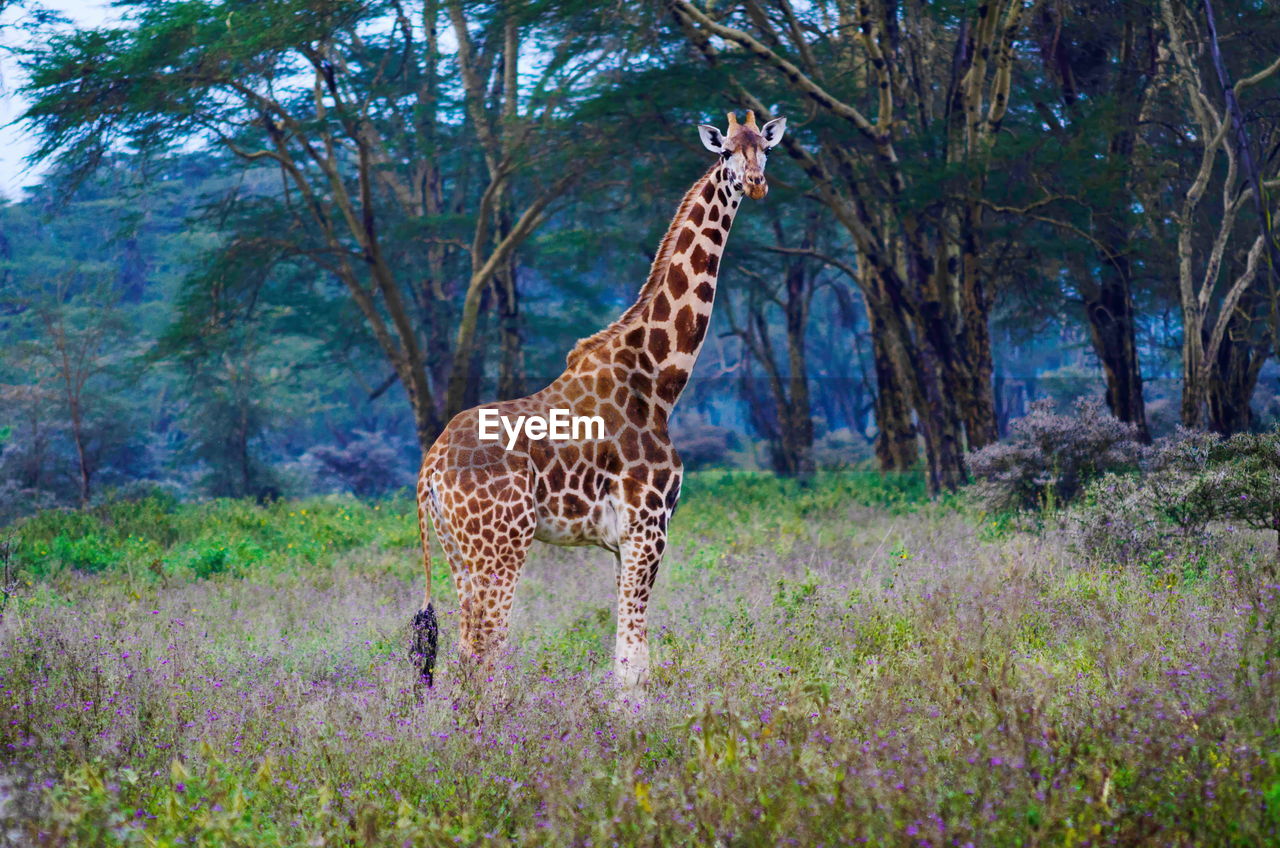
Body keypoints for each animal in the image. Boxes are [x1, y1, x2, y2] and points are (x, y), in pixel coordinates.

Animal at [414, 111, 783, 691]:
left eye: (764, 149)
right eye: (725, 152)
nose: (756, 182)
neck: (659, 380)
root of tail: (430, 467)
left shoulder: (623, 540)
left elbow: (626, 657)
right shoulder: (647, 527)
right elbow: (634, 665)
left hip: (459, 551)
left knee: (465, 653)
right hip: (502, 545)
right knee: (483, 653)